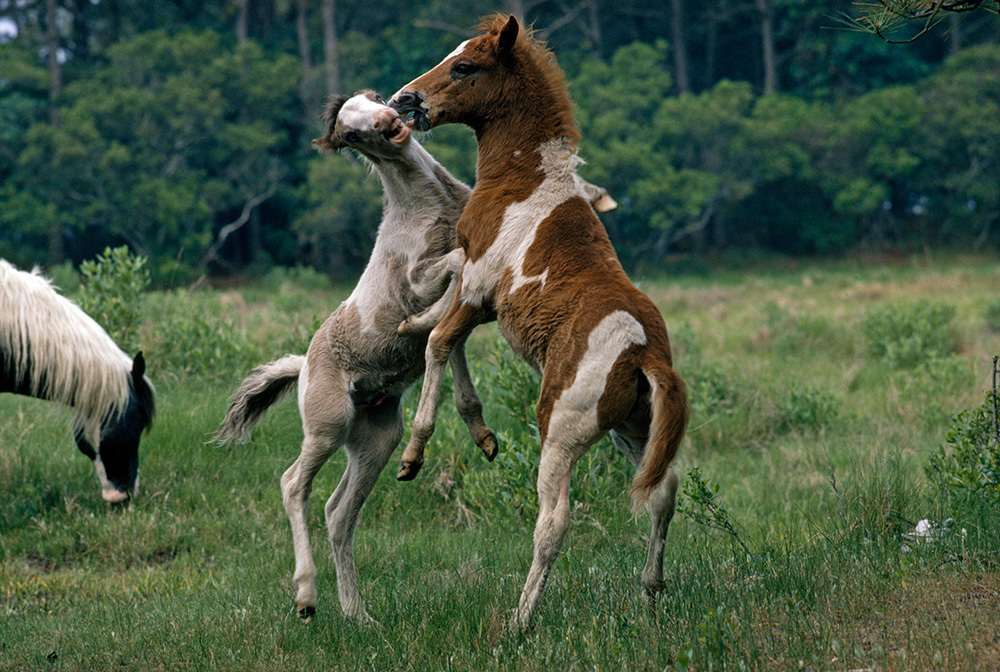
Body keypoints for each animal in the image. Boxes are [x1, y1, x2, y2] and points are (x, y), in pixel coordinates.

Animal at [215, 90, 612, 624]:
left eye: (371, 98)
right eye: (350, 133)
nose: (388, 122)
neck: (432, 208)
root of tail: (303, 368)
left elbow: (454, 339)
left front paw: (482, 435)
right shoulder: (417, 278)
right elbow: (455, 272)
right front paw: (415, 324)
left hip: (376, 439)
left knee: (339, 513)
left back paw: (358, 614)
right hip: (328, 422)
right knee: (293, 483)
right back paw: (306, 598)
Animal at [390, 13, 688, 628]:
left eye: (465, 66)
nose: (406, 101)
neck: (526, 182)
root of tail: (644, 354)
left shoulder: (480, 286)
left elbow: (439, 343)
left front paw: (414, 454)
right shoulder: (472, 277)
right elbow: (441, 311)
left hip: (562, 428)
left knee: (554, 522)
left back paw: (520, 621)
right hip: (634, 429)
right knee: (662, 492)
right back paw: (650, 591)